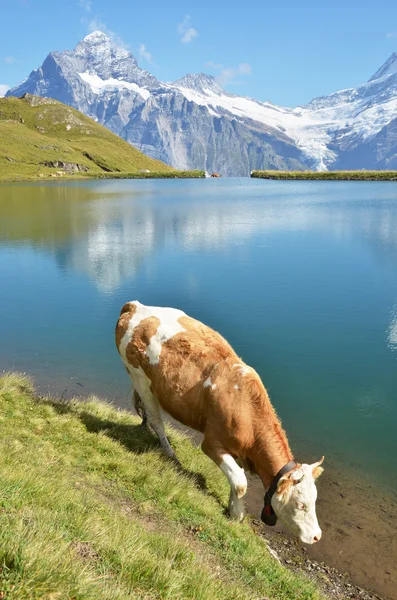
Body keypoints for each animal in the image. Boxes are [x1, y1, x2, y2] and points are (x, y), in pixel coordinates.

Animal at [113, 300, 322, 544]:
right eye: (301, 504)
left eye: (314, 501)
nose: (317, 536)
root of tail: (135, 305)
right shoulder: (212, 443)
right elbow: (240, 482)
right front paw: (237, 514)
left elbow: (235, 480)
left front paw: (231, 507)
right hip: (139, 376)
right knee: (156, 419)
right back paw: (169, 452)